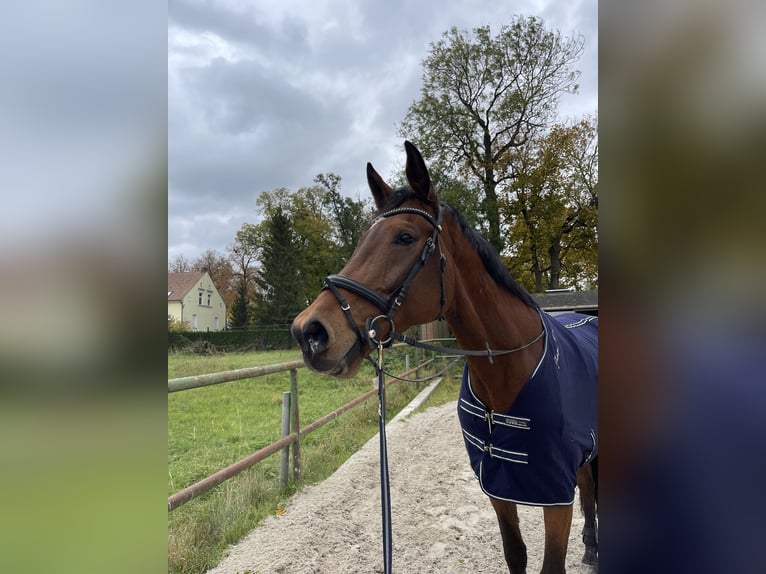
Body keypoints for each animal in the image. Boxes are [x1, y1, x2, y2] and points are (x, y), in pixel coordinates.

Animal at [291, 141, 598, 574]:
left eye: (404, 237)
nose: (310, 332)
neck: (508, 370)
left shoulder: (555, 495)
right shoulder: (498, 488)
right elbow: (515, 555)